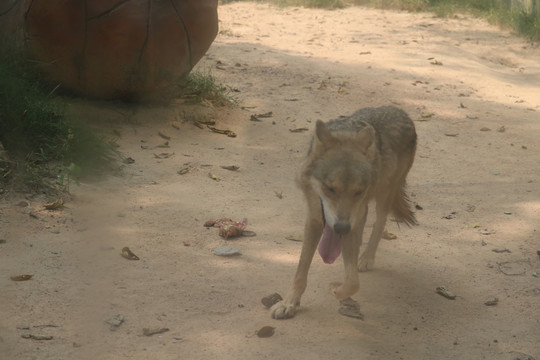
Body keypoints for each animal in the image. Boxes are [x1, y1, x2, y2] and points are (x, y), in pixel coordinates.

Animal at [270, 105, 418, 320]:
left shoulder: (352, 221)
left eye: (358, 191)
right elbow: (300, 270)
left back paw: (366, 258)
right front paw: (289, 303)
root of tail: (400, 111)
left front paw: (335, 288)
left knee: (380, 223)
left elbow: (353, 282)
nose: (341, 228)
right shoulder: (315, 218)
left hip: (385, 194)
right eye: (330, 188)